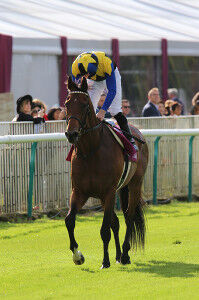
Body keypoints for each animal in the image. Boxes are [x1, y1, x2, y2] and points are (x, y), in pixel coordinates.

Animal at [64, 76, 148, 268]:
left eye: (85, 105)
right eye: (67, 104)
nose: (71, 134)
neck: (90, 150)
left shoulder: (108, 191)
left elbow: (104, 229)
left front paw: (105, 261)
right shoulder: (79, 191)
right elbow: (70, 220)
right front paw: (77, 256)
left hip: (134, 184)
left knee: (129, 216)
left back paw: (125, 254)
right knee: (116, 222)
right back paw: (118, 255)